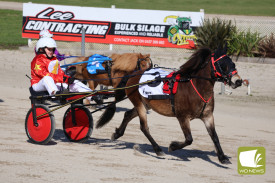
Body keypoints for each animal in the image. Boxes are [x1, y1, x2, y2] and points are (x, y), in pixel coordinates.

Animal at [100, 46, 243, 164]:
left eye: (233, 63)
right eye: (222, 64)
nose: (238, 81)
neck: (195, 87)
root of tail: (134, 74)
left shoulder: (208, 116)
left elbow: (215, 136)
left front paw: (223, 157)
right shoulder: (183, 117)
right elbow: (189, 139)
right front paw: (172, 146)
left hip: (145, 104)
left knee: (128, 114)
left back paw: (117, 134)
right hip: (139, 103)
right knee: (144, 127)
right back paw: (158, 149)